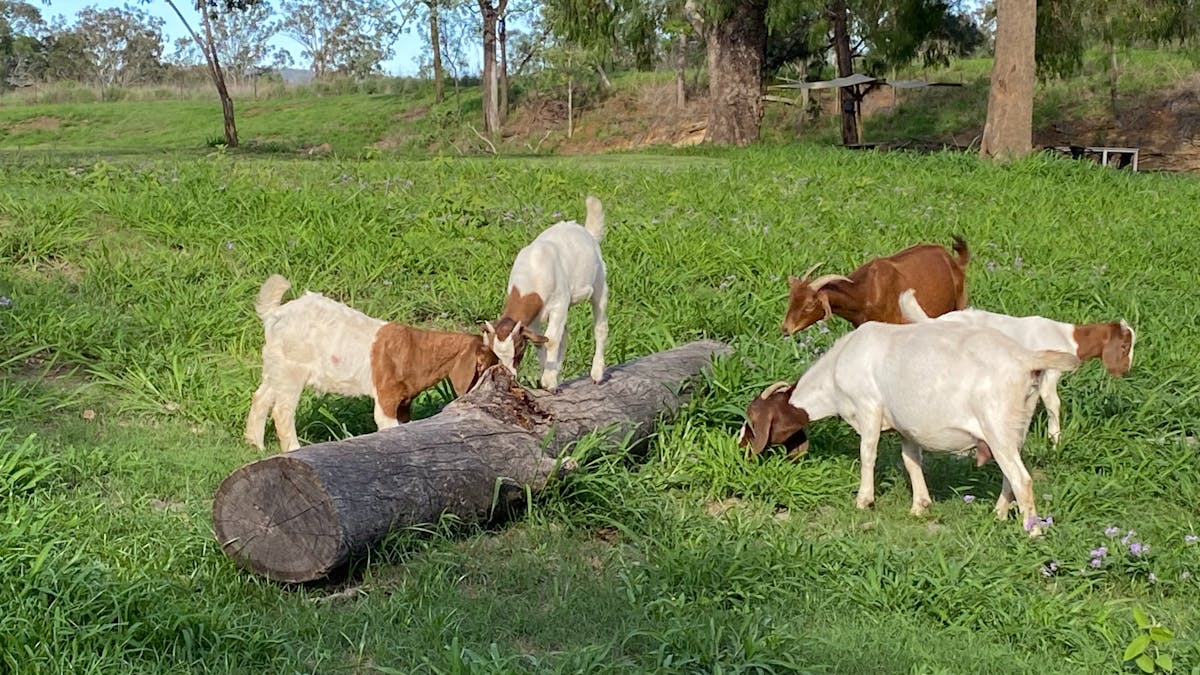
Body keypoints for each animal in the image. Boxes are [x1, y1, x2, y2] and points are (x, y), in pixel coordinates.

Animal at [244, 275, 497, 452]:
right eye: (484, 365)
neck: (415, 350)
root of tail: (275, 312)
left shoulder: (404, 402)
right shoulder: (387, 398)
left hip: (275, 366)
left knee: (261, 397)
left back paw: (256, 445)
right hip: (291, 369)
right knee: (282, 411)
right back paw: (293, 450)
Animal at [484, 195, 608, 391]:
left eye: (519, 349)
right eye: (495, 353)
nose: (510, 375)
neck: (533, 273)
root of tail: (586, 232)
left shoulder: (559, 305)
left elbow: (551, 340)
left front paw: (549, 381)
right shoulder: (533, 317)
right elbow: (540, 341)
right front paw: (547, 376)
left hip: (600, 284)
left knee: (600, 326)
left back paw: (597, 373)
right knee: (565, 333)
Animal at [754, 320, 1080, 536]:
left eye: (752, 421)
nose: (746, 452)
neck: (835, 372)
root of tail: (1026, 359)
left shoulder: (868, 407)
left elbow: (867, 454)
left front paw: (863, 500)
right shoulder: (906, 427)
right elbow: (911, 461)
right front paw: (920, 506)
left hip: (997, 426)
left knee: (1022, 479)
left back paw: (1032, 531)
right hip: (1015, 428)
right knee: (1010, 475)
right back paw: (998, 514)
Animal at [782, 237, 970, 335]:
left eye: (809, 305)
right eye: (791, 300)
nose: (785, 329)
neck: (864, 293)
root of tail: (953, 260)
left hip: (960, 301)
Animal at [898, 288, 1135, 445]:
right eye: (1125, 346)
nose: (1125, 370)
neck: (1068, 337)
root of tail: (932, 321)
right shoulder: (1051, 372)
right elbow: (1053, 402)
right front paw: (1055, 440)